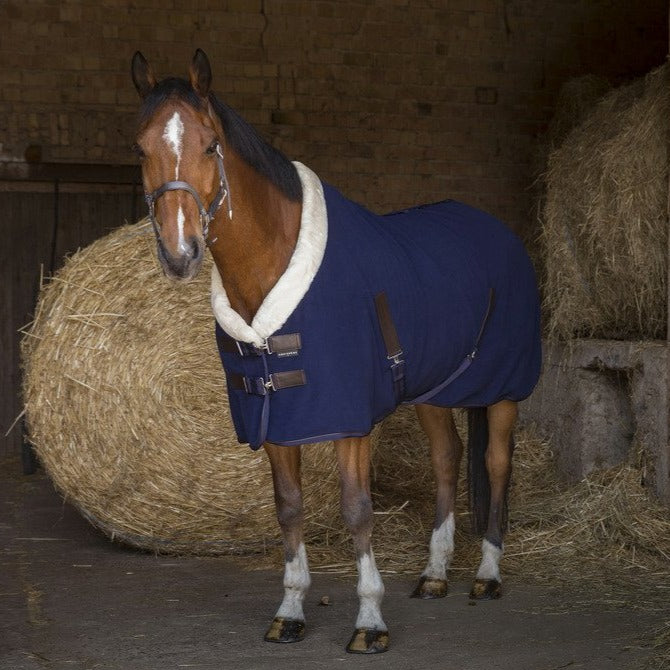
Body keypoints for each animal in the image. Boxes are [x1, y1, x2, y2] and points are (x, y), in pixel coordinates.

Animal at [133, 48, 544, 656]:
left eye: (209, 145)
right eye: (141, 147)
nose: (180, 253)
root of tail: (498, 234)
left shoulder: (349, 420)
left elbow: (357, 510)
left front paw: (370, 620)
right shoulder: (276, 419)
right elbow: (288, 507)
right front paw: (290, 611)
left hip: (504, 388)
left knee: (496, 463)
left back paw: (488, 573)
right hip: (434, 388)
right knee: (446, 461)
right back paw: (435, 573)